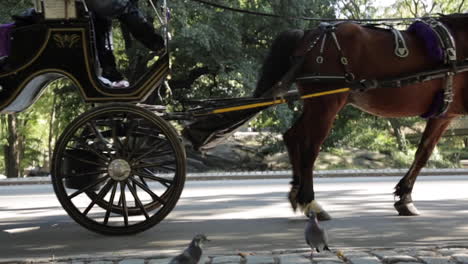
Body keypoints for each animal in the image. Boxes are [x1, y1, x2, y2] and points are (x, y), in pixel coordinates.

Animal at [254, 14, 468, 221]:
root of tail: (310, 35)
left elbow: (423, 152)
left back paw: (296, 191)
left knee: (293, 136)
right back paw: (310, 201)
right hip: (326, 103)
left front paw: (404, 197)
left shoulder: (444, 114)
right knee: (310, 148)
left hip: (317, 104)